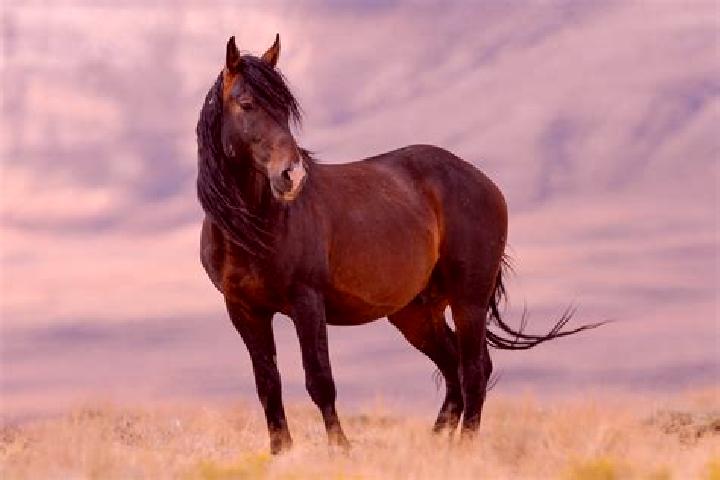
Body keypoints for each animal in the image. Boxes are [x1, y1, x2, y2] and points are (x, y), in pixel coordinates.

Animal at [196, 35, 598, 454]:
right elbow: (267, 384)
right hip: (415, 313)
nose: (292, 175)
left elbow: (320, 380)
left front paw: (340, 448)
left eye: (285, 110)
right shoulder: (245, 311)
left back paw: (464, 446)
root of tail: (484, 181)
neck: (257, 227)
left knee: (474, 368)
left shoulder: (306, 301)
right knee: (453, 366)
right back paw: (436, 444)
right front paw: (281, 452)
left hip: (468, 300)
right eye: (246, 104)